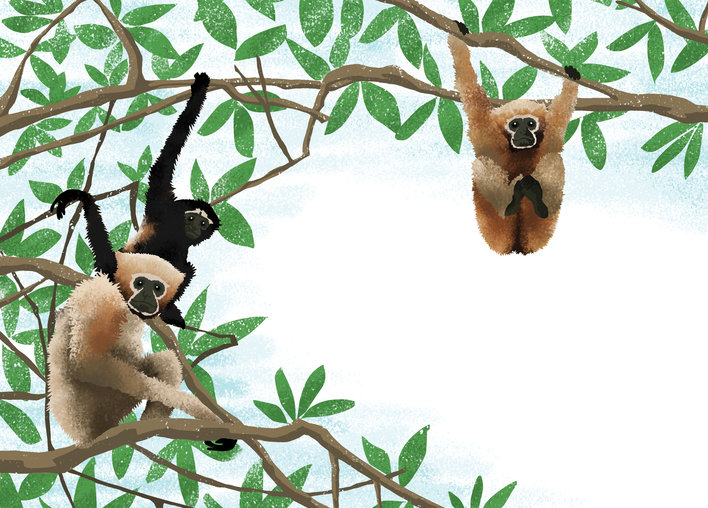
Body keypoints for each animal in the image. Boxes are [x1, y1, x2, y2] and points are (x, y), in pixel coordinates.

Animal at [49, 192, 237, 451]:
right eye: (140, 283)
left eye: (157, 288)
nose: (148, 297)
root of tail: (82, 436)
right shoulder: (101, 297)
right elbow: (88, 363)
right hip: (99, 407)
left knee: (166, 361)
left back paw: (151, 423)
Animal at [51, 72, 220, 330]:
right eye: (191, 218)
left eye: (203, 223)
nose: (194, 227)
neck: (177, 233)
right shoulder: (162, 205)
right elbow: (166, 158)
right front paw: (199, 92)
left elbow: (186, 270)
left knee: (187, 269)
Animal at [448, 26, 580, 255]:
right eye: (515, 125)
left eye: (531, 124)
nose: (524, 134)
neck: (519, 151)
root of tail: (517, 248)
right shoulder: (486, 134)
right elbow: (468, 85)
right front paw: (457, 37)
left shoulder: (550, 137)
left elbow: (562, 112)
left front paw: (570, 81)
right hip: (494, 232)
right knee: (482, 163)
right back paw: (509, 205)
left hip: (539, 232)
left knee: (554, 159)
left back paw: (539, 203)